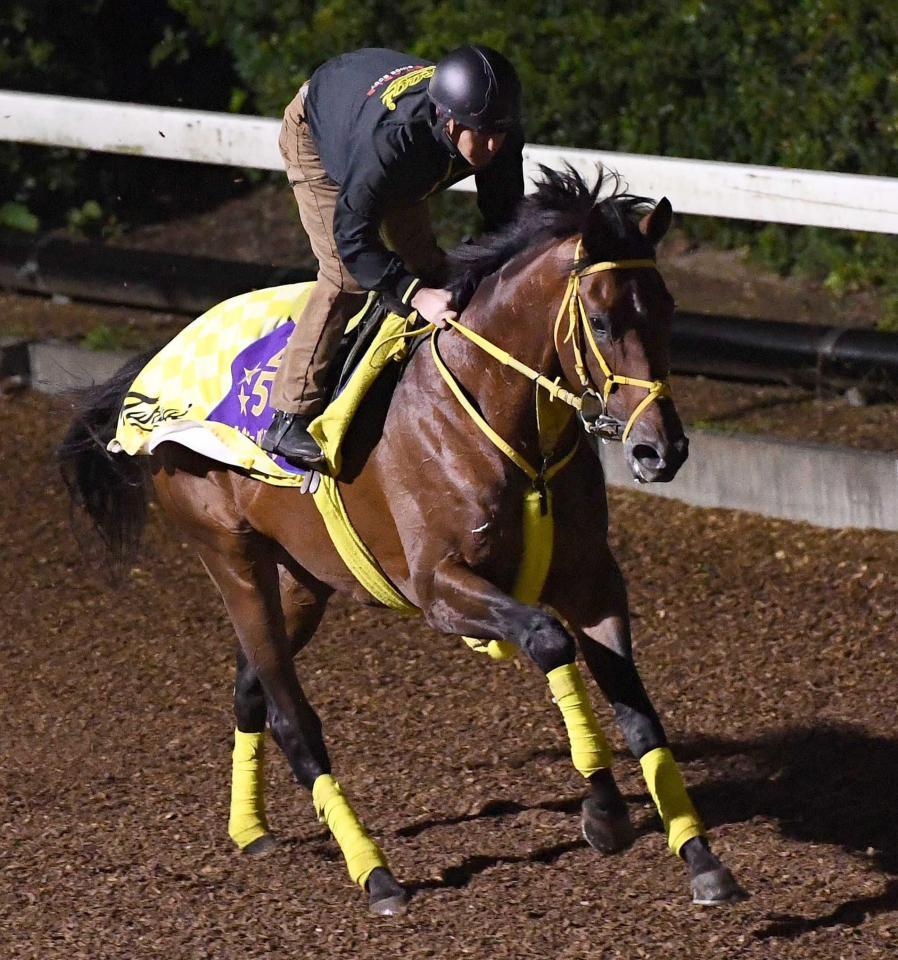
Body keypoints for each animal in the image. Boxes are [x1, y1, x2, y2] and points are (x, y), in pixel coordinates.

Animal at [57, 167, 744, 916]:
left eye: (668, 311)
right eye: (601, 321)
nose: (660, 450)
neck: (500, 414)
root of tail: (149, 374)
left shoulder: (593, 581)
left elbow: (641, 714)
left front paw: (703, 859)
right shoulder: (440, 587)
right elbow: (547, 640)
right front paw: (606, 811)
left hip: (301, 581)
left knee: (248, 691)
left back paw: (252, 829)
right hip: (231, 557)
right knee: (294, 720)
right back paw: (375, 873)